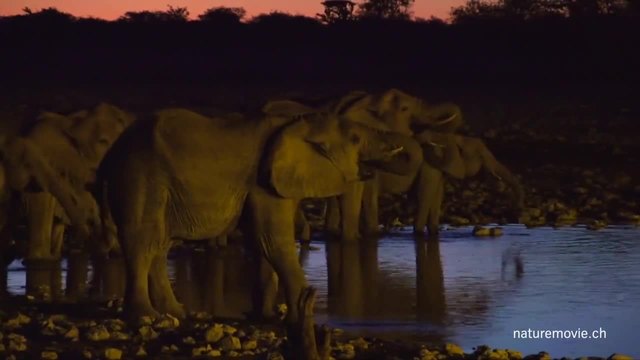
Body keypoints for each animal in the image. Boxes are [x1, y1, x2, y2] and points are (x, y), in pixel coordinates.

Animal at [95, 99, 422, 354]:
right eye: (354, 139)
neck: (295, 123)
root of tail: (109, 155)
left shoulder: (273, 181)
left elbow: (261, 242)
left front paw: (265, 317)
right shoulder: (265, 180)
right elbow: (272, 240)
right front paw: (298, 317)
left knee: (160, 245)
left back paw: (176, 312)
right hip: (140, 176)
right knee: (144, 240)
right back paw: (145, 316)